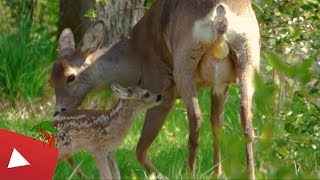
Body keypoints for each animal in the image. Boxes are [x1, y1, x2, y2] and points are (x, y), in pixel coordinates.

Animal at [50, 0, 260, 179]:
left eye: (71, 77)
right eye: (51, 79)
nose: (58, 111)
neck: (135, 60)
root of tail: (220, 15)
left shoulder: (160, 85)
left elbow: (139, 150)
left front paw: (162, 176)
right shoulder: (220, 83)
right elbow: (217, 123)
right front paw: (218, 173)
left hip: (184, 63)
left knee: (195, 118)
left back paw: (190, 173)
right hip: (249, 56)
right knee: (245, 116)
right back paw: (251, 174)